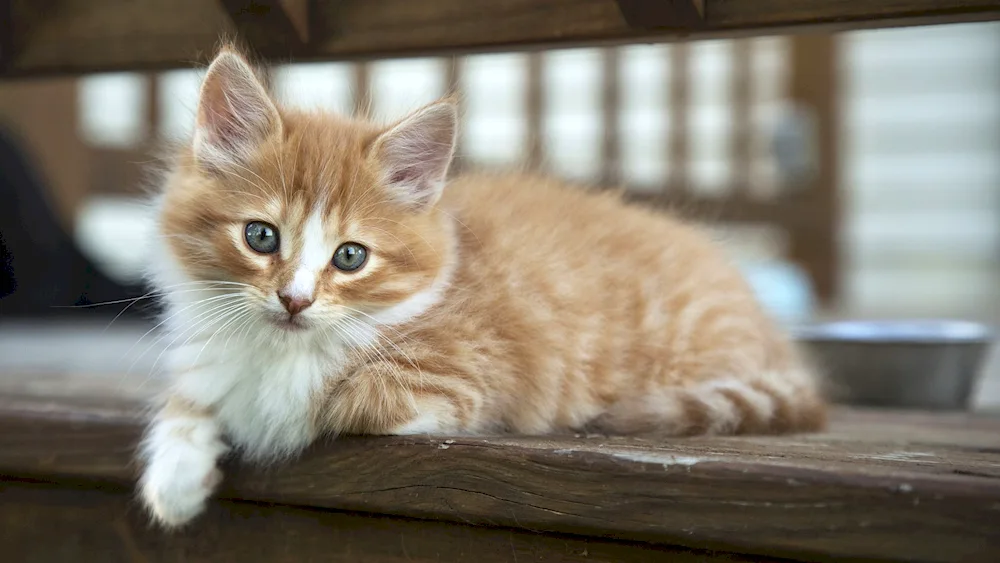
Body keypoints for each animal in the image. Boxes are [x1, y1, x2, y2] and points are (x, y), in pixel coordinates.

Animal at [141, 48, 828, 528]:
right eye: (260, 237)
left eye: (351, 256)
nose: (295, 300)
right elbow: (191, 398)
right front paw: (176, 473)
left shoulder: (464, 374)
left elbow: (322, 402)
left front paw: (270, 413)